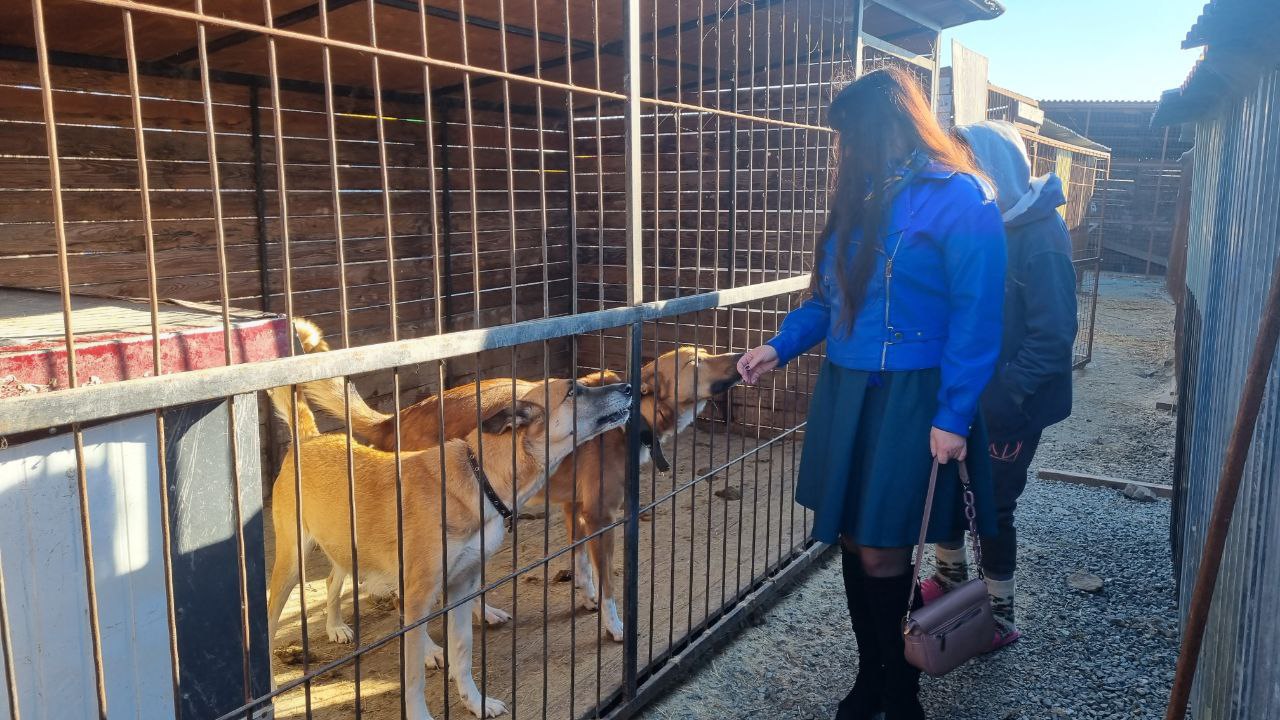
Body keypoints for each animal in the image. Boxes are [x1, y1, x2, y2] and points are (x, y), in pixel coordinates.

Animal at [266, 368, 634, 717]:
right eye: (573, 391)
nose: (629, 387)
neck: (480, 477)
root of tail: (310, 441)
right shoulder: (419, 593)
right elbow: (413, 676)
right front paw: (421, 713)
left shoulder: (462, 586)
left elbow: (463, 652)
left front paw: (475, 703)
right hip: (292, 561)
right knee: (271, 617)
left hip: (345, 546)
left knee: (332, 580)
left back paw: (336, 627)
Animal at [293, 319, 742, 638]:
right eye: (694, 363)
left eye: (707, 353)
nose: (740, 357)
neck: (636, 420)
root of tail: (397, 418)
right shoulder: (601, 516)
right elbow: (611, 581)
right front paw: (614, 624)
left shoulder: (573, 509)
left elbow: (581, 563)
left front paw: (588, 597)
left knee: (339, 569)